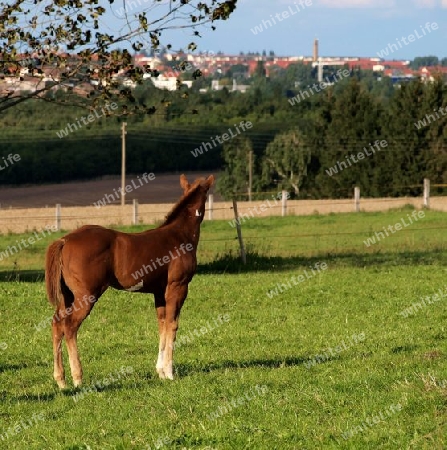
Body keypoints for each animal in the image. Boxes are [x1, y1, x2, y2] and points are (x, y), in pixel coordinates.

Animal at [44, 174, 214, 388]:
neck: (179, 235)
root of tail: (65, 240)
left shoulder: (159, 292)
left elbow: (162, 324)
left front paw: (160, 371)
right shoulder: (178, 287)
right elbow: (173, 324)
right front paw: (169, 372)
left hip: (67, 296)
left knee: (57, 324)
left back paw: (61, 380)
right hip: (86, 296)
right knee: (69, 327)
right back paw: (77, 378)